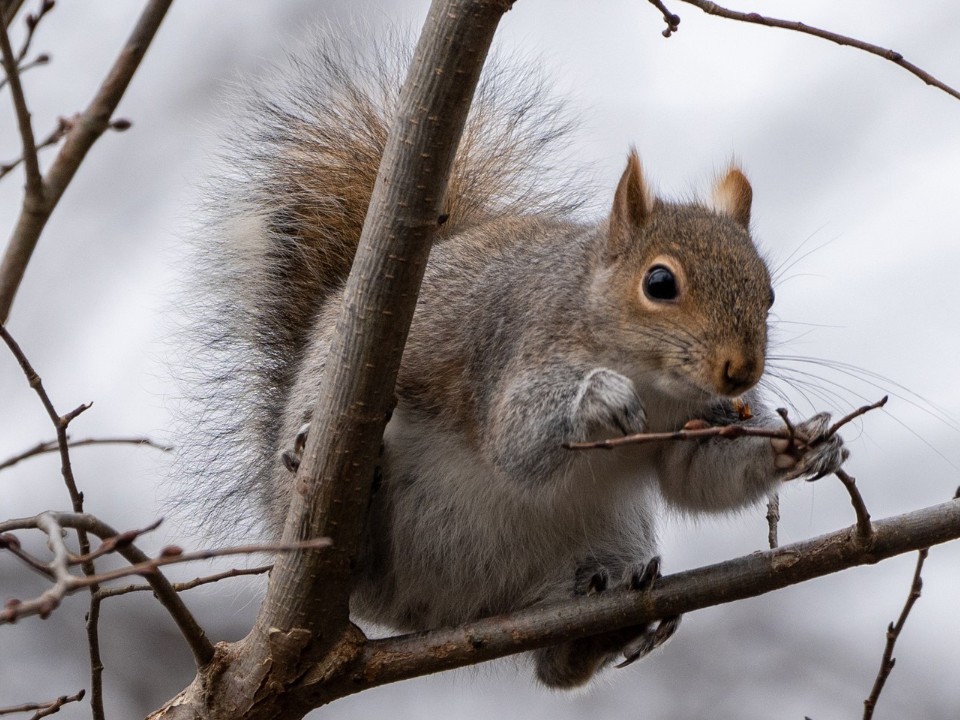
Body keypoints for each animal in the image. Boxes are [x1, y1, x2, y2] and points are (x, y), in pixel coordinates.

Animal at [180, 32, 848, 688]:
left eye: (768, 293)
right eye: (660, 283)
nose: (741, 372)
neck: (656, 383)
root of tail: (444, 611)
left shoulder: (700, 419)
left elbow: (699, 476)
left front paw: (806, 443)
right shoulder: (516, 348)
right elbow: (515, 443)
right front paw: (598, 396)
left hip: (608, 533)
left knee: (558, 668)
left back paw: (598, 629)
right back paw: (318, 461)